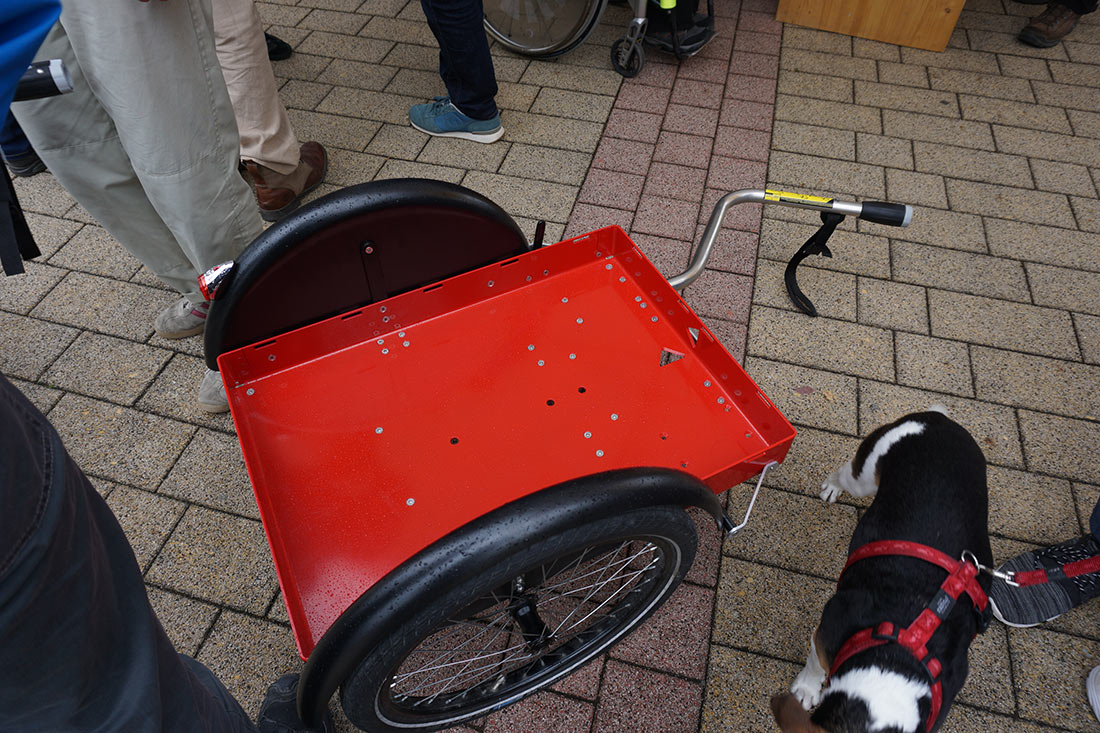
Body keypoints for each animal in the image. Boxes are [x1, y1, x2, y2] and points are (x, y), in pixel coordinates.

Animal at [771, 408, 992, 733]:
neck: (894, 663)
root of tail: (936, 419)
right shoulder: (829, 628)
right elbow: (816, 665)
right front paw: (806, 690)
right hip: (864, 476)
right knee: (844, 473)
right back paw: (832, 488)